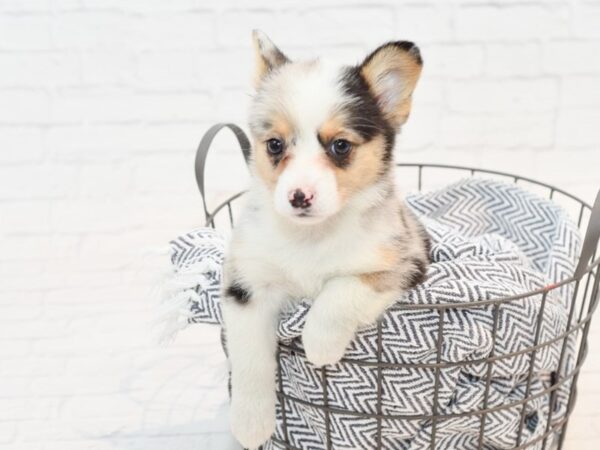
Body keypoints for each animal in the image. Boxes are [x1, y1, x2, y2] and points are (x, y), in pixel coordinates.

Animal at [223, 29, 428, 448]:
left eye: (340, 146)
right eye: (275, 145)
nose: (299, 197)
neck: (310, 237)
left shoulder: (401, 262)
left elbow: (341, 291)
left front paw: (318, 344)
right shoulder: (247, 285)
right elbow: (249, 356)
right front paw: (250, 423)